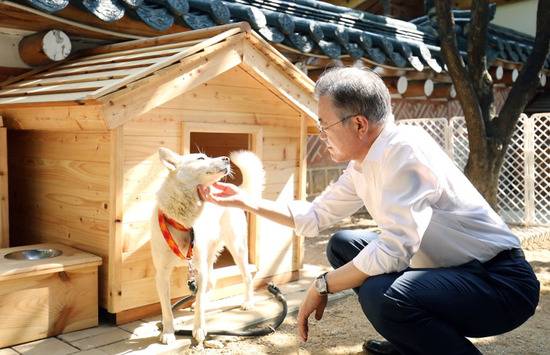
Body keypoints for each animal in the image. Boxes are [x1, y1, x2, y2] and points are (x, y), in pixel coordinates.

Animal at [150, 147, 264, 348]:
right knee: (211, 282)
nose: (226, 159)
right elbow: (166, 309)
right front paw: (168, 332)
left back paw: (247, 302)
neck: (182, 221)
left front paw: (199, 329)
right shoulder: (162, 274)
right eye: (200, 158)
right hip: (209, 255)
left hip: (236, 248)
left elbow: (201, 305)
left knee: (246, 276)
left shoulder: (198, 269)